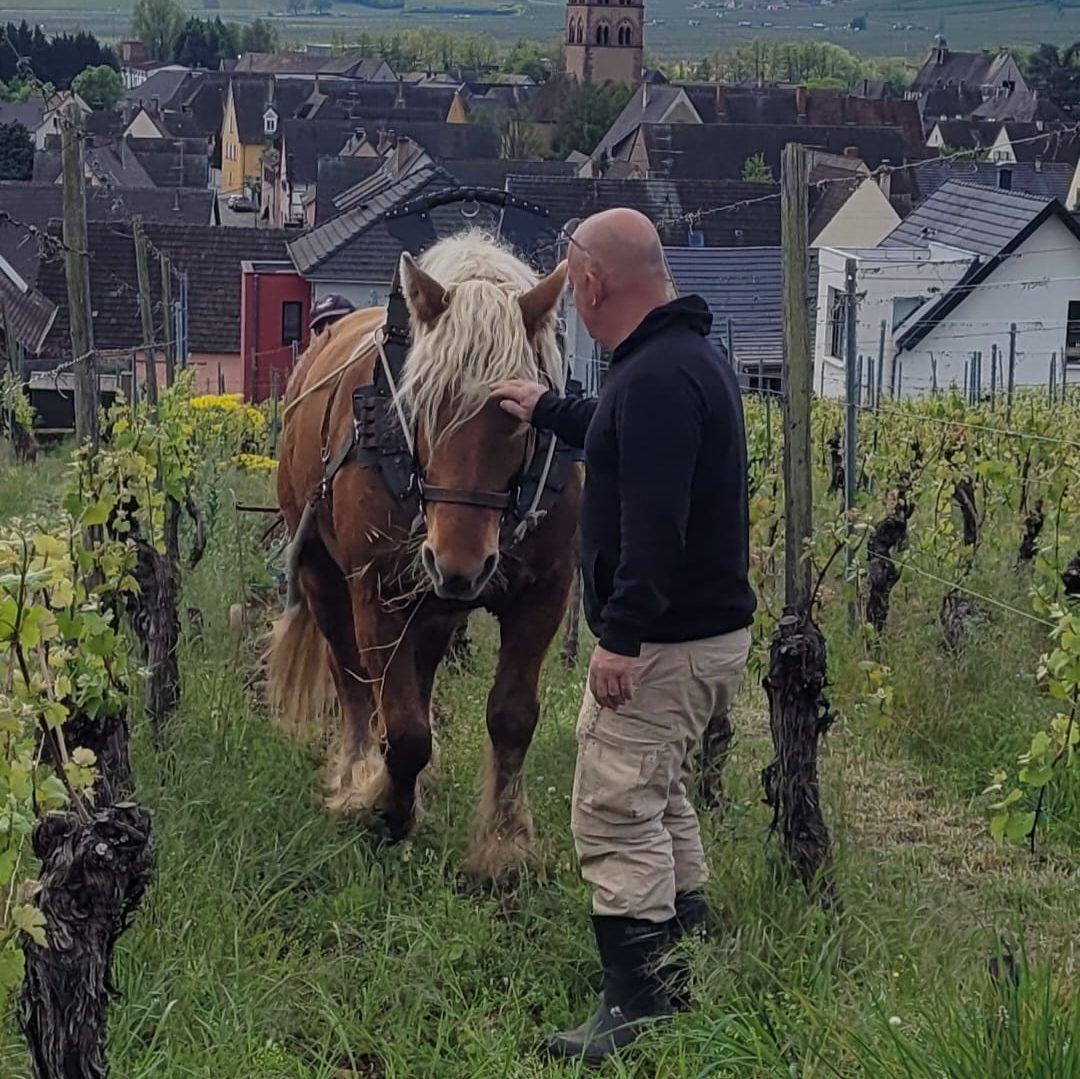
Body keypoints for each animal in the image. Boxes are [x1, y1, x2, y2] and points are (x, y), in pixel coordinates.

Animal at [266, 231, 581, 880]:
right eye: (421, 406)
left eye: (519, 417)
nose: (458, 563)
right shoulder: (376, 588)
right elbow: (403, 724)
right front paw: (385, 805)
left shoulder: (545, 591)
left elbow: (512, 717)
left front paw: (504, 845)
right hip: (324, 576)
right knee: (352, 678)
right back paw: (358, 771)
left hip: (435, 603)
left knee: (423, 668)